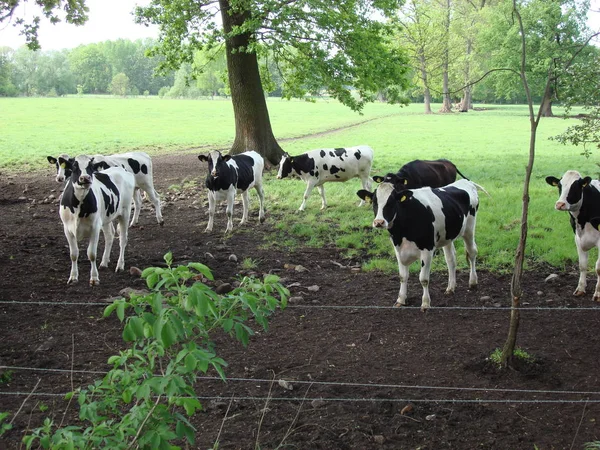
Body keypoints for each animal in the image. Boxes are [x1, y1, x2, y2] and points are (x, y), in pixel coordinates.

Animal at [57, 156, 135, 284]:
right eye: (74, 166)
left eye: (91, 166)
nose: (85, 178)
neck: (79, 204)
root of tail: (122, 170)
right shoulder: (67, 229)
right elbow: (73, 254)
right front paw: (73, 277)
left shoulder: (95, 227)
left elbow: (92, 254)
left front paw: (94, 278)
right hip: (106, 218)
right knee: (110, 235)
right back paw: (104, 262)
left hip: (125, 212)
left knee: (123, 239)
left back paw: (120, 265)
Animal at [358, 178, 480, 310]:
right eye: (374, 202)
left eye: (391, 202)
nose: (379, 222)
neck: (402, 232)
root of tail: (466, 181)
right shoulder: (398, 250)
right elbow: (403, 276)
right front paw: (401, 299)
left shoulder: (427, 249)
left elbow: (424, 279)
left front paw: (425, 303)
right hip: (447, 236)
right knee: (451, 259)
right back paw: (450, 288)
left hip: (469, 229)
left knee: (472, 252)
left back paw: (473, 282)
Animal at [548, 172, 600, 302]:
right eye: (559, 186)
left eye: (576, 187)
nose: (560, 204)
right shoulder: (578, 238)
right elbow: (582, 265)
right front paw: (580, 289)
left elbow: (598, 268)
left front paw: (598, 294)